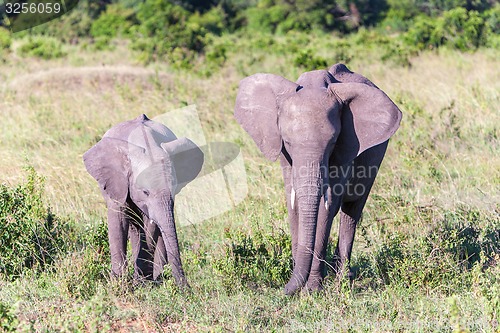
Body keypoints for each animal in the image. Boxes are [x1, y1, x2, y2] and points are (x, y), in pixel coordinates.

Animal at [84, 113, 203, 286]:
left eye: (174, 188)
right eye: (145, 192)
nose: (187, 288)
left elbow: (151, 226)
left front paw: (141, 282)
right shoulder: (117, 181)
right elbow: (118, 221)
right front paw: (118, 284)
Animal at [234, 62, 402, 294]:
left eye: (332, 142)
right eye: (287, 141)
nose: (283, 290)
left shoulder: (345, 149)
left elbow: (325, 208)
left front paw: (312, 289)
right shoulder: (285, 155)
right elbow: (294, 205)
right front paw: (300, 282)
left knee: (352, 211)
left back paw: (343, 280)